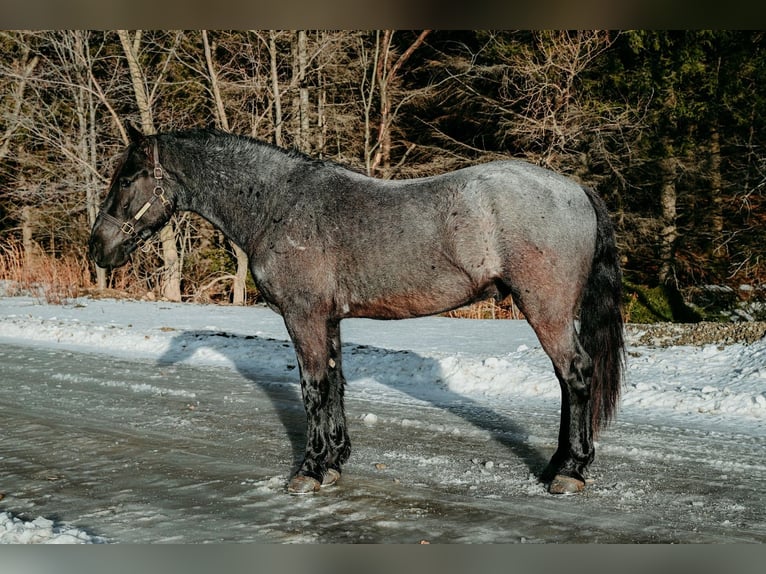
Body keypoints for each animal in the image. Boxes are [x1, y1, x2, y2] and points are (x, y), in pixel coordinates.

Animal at [89, 125, 625, 495]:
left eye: (128, 178)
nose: (98, 248)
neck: (279, 205)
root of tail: (574, 189)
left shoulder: (302, 316)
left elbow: (313, 388)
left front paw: (309, 470)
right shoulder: (328, 320)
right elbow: (334, 382)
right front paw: (334, 461)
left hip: (546, 310)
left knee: (576, 374)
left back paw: (570, 472)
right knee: (567, 380)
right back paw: (558, 464)